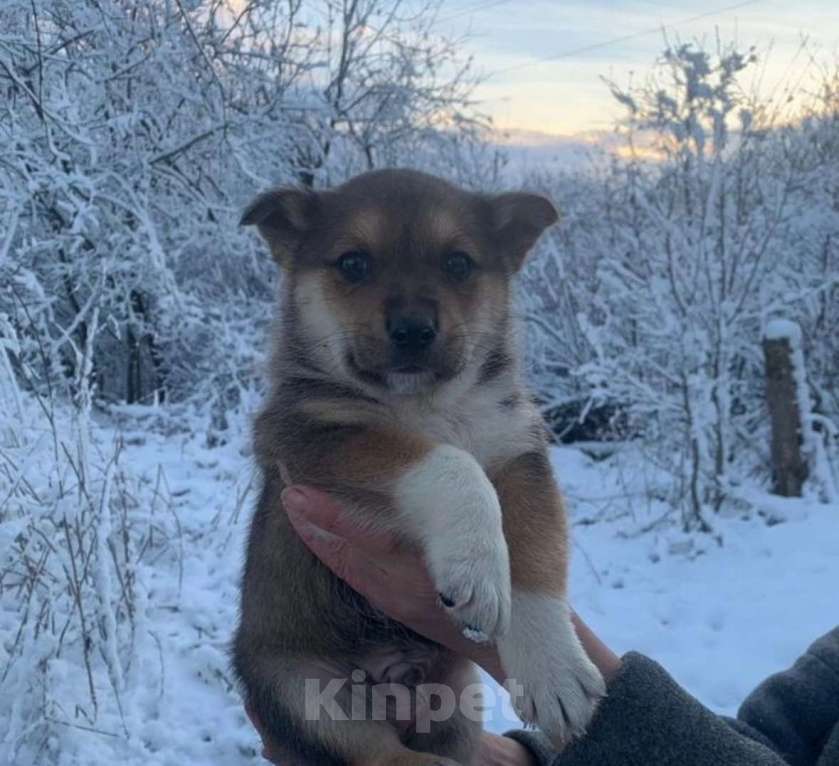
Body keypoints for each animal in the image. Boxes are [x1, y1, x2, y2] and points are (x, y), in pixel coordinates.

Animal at [233, 170, 608, 766]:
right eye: (353, 263)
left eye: (458, 263)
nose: (413, 329)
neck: (428, 405)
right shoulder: (313, 435)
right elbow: (448, 463)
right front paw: (476, 567)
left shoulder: (520, 452)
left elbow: (537, 554)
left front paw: (556, 671)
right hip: (300, 687)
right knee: (381, 755)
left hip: (455, 697)